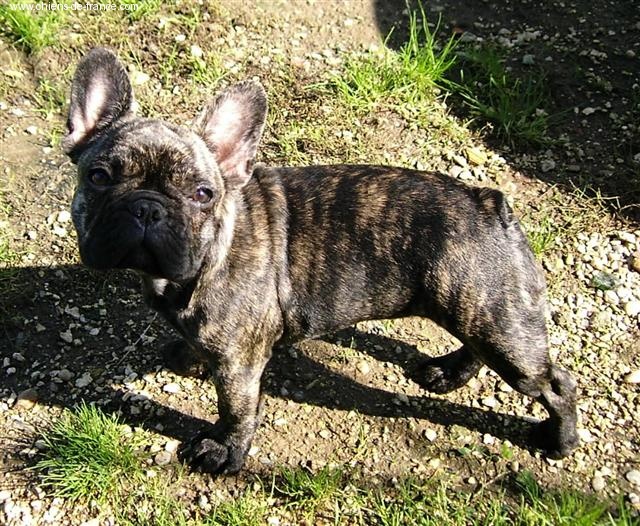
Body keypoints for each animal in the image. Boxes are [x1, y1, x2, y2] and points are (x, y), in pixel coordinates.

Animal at [63, 47, 578, 474]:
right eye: (99, 176)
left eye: (202, 194)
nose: (147, 207)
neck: (211, 254)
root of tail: (489, 202)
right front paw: (187, 357)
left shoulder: (240, 363)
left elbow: (236, 409)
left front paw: (224, 452)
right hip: (478, 306)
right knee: (476, 344)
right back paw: (449, 373)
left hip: (500, 327)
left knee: (555, 383)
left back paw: (559, 440)